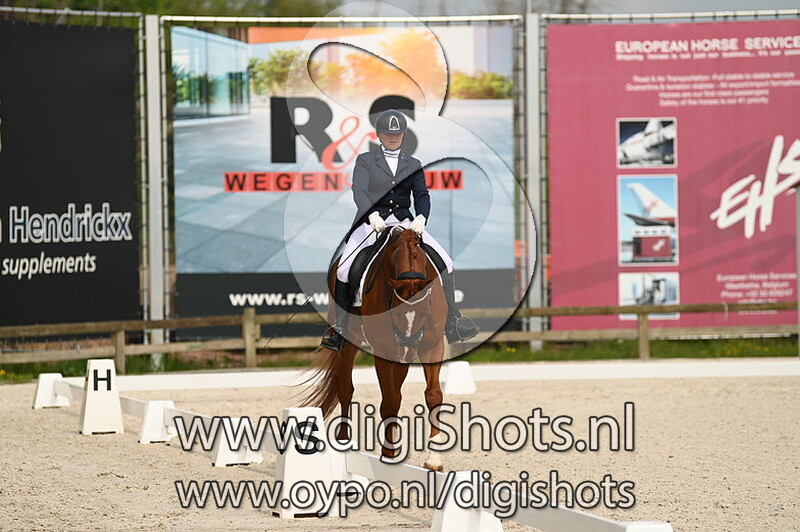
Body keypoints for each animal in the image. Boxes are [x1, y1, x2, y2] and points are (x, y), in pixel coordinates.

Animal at [301, 226, 449, 471]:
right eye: (395, 312)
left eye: (425, 312)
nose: (408, 345)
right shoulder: (383, 349)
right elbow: (389, 402)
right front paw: (388, 455)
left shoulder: (432, 345)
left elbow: (433, 395)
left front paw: (434, 459)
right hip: (348, 342)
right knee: (346, 389)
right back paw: (343, 441)